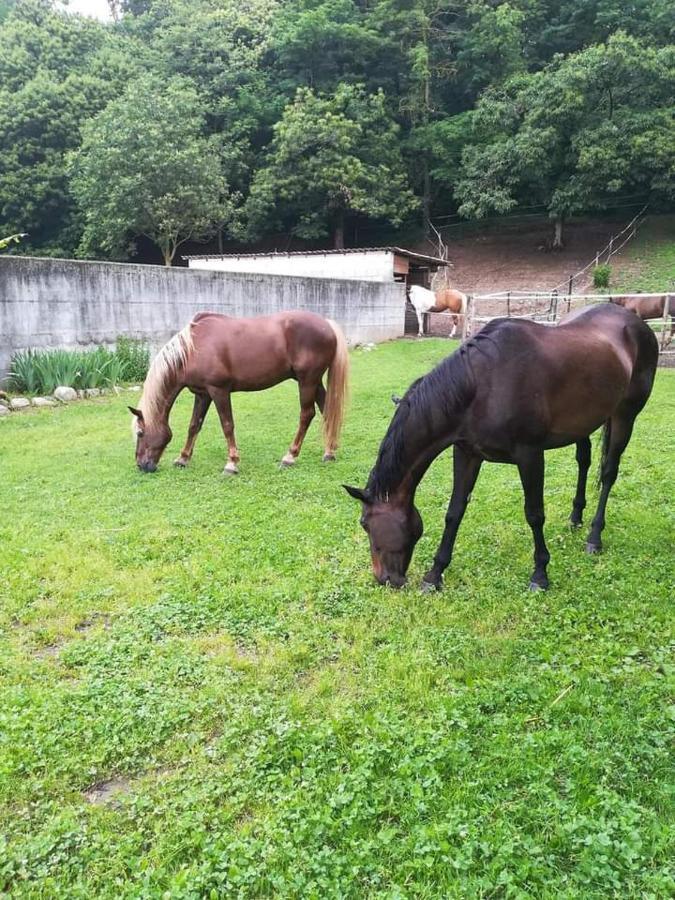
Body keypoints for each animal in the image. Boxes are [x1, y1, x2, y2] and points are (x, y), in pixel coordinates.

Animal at [131, 312, 348, 474]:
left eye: (140, 433)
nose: (141, 465)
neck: (193, 349)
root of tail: (327, 324)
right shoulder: (202, 394)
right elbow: (194, 426)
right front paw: (182, 459)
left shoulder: (219, 390)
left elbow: (227, 425)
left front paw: (232, 463)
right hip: (313, 381)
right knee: (326, 410)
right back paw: (329, 453)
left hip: (307, 381)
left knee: (307, 414)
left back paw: (290, 457)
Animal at [346, 302, 656, 596]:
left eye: (365, 523)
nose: (383, 578)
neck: (482, 385)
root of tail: (636, 322)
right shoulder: (467, 453)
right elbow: (454, 512)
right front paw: (434, 575)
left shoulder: (530, 455)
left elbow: (534, 513)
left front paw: (540, 574)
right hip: (585, 421)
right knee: (584, 460)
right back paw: (576, 517)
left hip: (625, 415)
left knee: (608, 473)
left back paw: (594, 536)